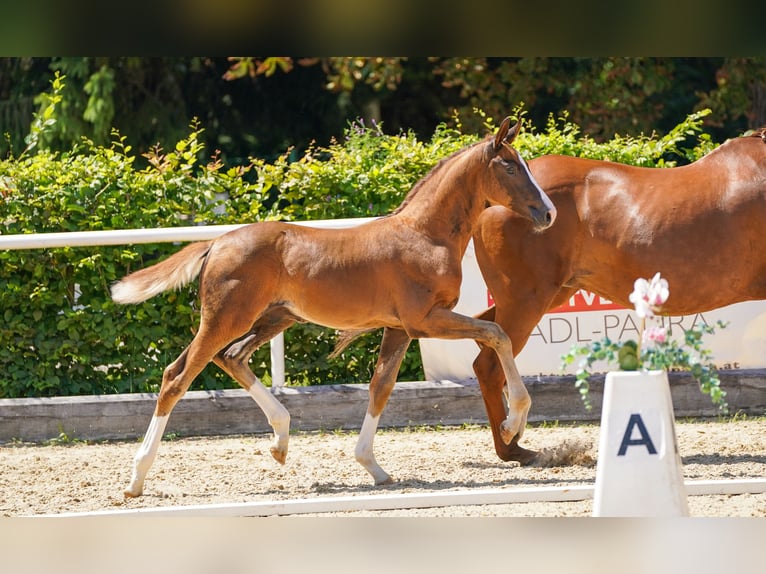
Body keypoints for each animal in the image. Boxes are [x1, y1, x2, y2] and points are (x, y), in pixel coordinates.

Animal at [111, 116, 557, 498]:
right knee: (178, 377)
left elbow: (380, 387)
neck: (424, 235)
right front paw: (513, 421)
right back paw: (136, 478)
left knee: (229, 358)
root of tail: (216, 242)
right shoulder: (425, 321)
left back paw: (280, 440)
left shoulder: (399, 328)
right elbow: (498, 334)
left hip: (269, 318)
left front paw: (373, 467)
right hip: (226, 318)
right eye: (511, 167)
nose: (549, 213)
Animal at [470, 128, 766, 464]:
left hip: (545, 296)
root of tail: (491, 201)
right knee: (489, 363)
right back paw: (511, 442)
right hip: (526, 300)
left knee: (484, 336)